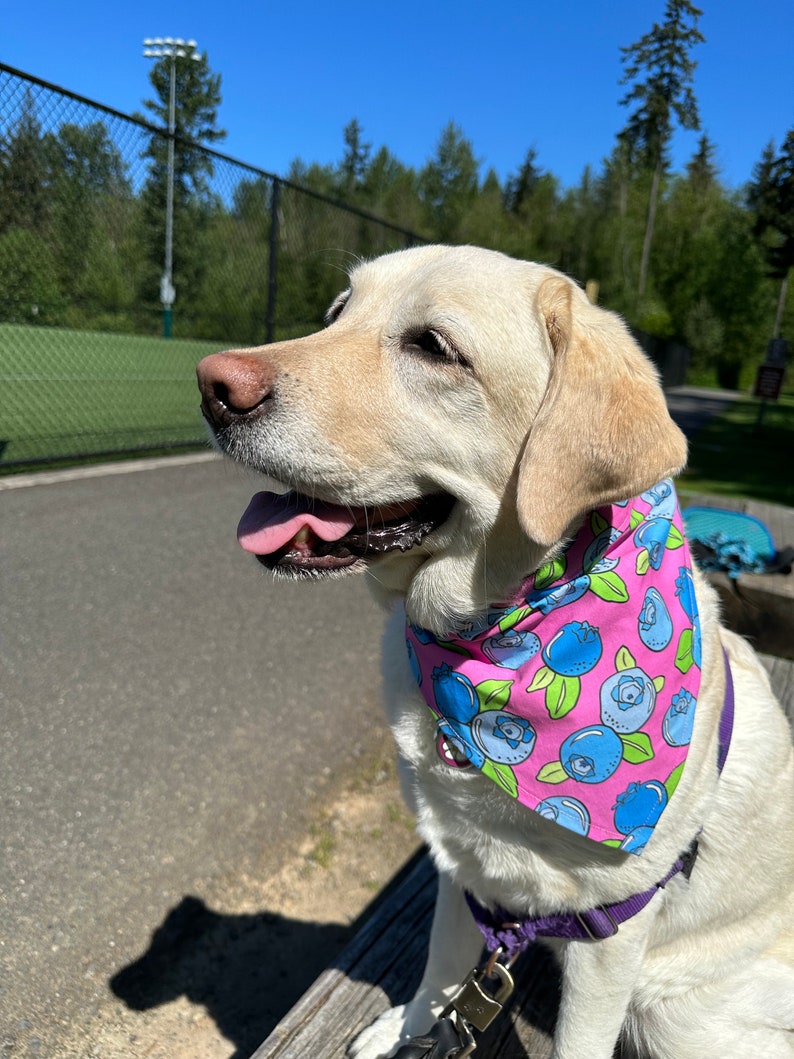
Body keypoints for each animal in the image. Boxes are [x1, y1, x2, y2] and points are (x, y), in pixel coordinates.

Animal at [197, 243, 794, 1054]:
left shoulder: (613, 932)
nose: (212, 384)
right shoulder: (459, 859)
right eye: (337, 312)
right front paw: (414, 1026)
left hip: (678, 1014)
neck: (489, 642)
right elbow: (443, 963)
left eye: (433, 347)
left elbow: (578, 1041)